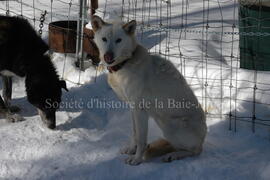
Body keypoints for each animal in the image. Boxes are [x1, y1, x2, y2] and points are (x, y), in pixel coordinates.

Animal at [90, 16, 207, 165]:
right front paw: (131, 150)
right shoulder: (133, 109)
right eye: (104, 39)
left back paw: (173, 155)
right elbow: (135, 134)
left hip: (170, 125)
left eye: (118, 40)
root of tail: (203, 137)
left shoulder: (140, 111)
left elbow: (141, 139)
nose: (108, 56)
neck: (125, 64)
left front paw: (137, 159)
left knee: (195, 151)